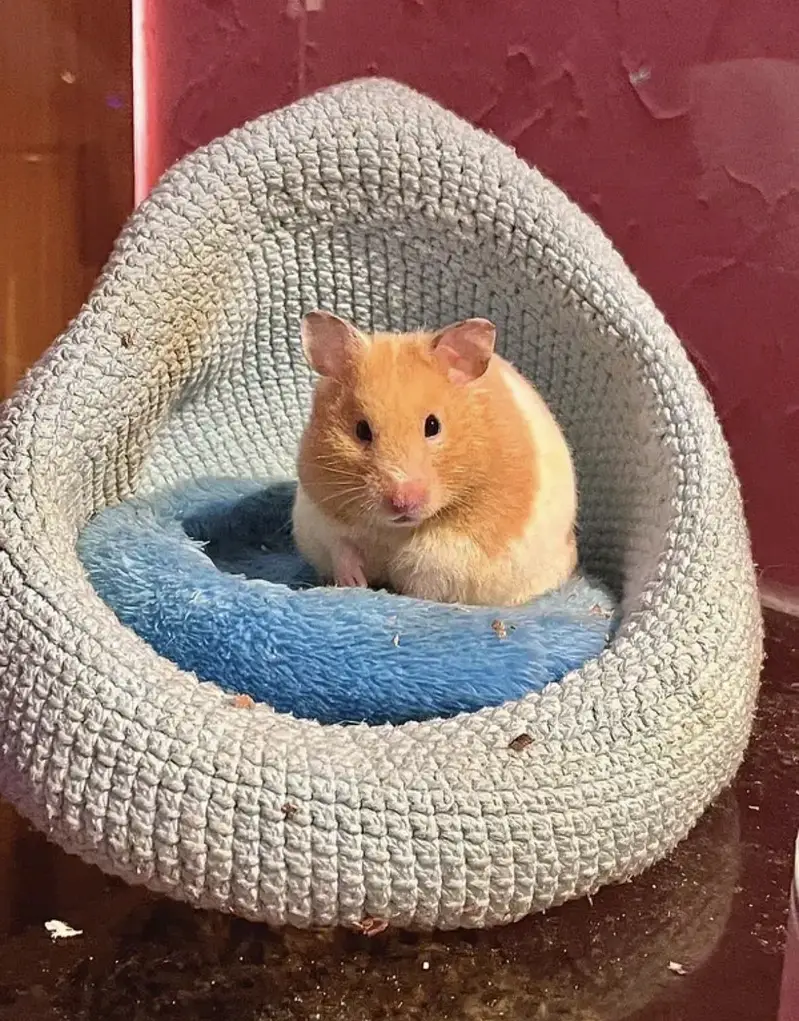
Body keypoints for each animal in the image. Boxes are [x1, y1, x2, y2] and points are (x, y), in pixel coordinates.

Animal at [292, 310, 578, 606]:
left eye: (433, 425)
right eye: (361, 430)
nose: (402, 502)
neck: (397, 530)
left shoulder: (456, 552)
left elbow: (425, 570)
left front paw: (397, 591)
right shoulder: (319, 520)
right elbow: (342, 550)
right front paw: (354, 583)